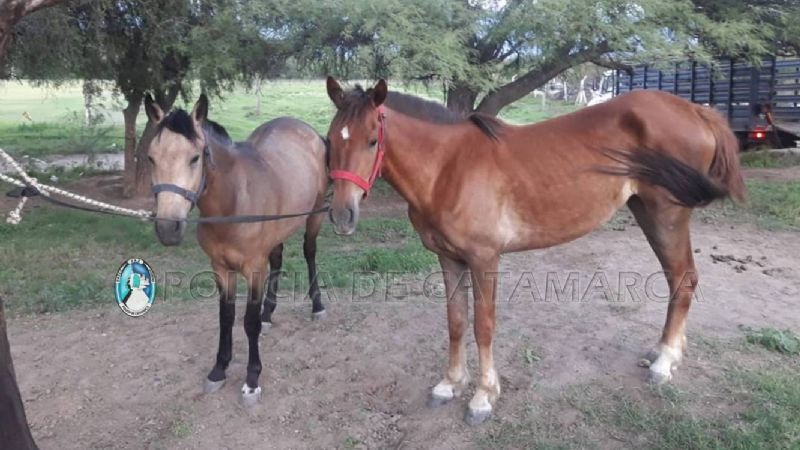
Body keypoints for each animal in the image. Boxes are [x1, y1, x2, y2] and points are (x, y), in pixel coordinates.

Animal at [144, 94, 329, 406]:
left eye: (195, 157)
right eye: (151, 158)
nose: (168, 228)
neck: (234, 200)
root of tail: (307, 130)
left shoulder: (254, 269)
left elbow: (248, 322)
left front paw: (252, 380)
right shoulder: (220, 268)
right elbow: (226, 317)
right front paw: (219, 369)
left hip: (314, 215)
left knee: (310, 252)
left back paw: (317, 306)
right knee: (278, 258)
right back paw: (269, 313)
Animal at [323, 77, 745, 425]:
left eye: (372, 140)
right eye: (330, 140)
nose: (342, 215)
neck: (447, 166)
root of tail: (697, 110)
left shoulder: (484, 258)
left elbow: (483, 326)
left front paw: (483, 396)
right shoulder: (448, 258)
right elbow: (456, 321)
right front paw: (450, 384)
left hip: (667, 214)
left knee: (684, 279)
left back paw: (664, 363)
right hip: (646, 211)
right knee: (677, 281)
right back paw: (660, 353)